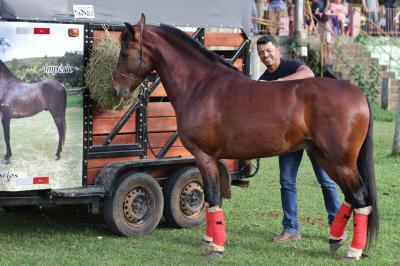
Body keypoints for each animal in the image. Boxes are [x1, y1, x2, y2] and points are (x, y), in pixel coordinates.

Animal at [111, 15, 378, 260]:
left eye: (124, 53)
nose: (115, 90)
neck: (200, 86)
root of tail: (359, 94)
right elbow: (210, 200)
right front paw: (209, 240)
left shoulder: (204, 156)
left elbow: (212, 197)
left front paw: (216, 247)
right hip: (324, 157)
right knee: (350, 197)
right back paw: (335, 240)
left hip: (340, 161)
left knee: (360, 197)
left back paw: (353, 250)